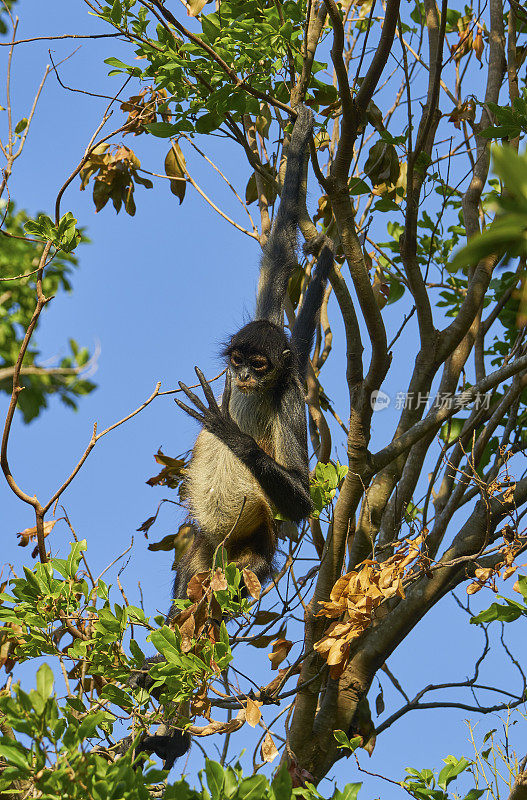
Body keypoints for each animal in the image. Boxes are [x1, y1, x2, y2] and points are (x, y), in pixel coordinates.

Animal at [136, 106, 334, 768]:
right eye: (240, 361)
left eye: (261, 366)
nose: (244, 378)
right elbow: (278, 258)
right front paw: (298, 142)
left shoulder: (292, 399)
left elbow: (300, 496)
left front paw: (228, 433)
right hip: (204, 549)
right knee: (187, 574)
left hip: (252, 561)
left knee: (212, 610)